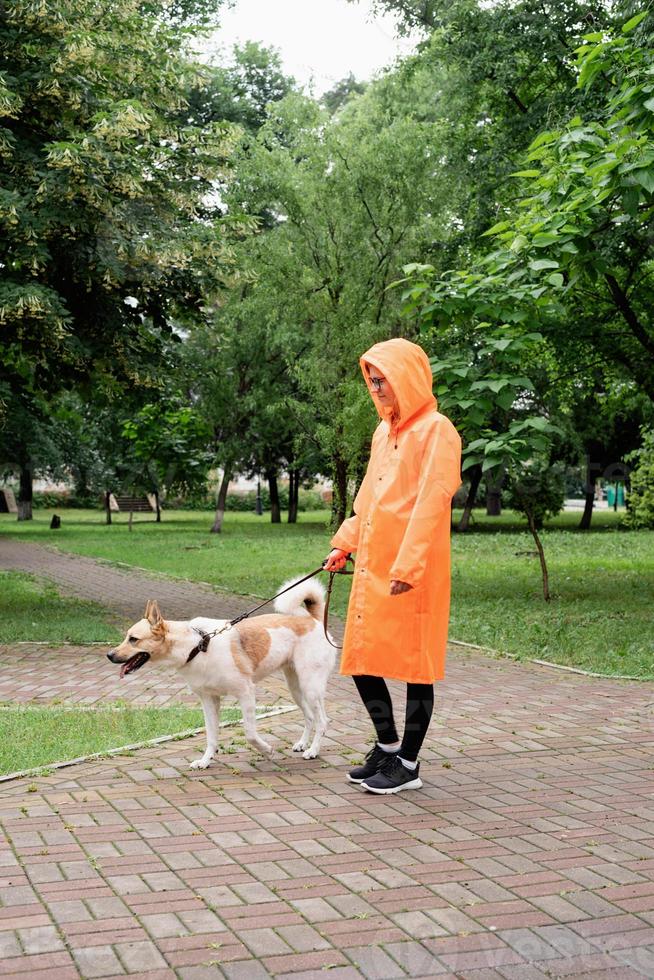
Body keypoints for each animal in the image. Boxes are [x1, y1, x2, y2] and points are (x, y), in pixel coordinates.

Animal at [107, 580, 336, 764]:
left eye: (133, 639)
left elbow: (250, 733)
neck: (196, 646)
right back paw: (303, 744)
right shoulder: (208, 700)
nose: (109, 655)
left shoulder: (246, 693)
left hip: (310, 687)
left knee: (322, 721)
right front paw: (205, 761)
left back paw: (313, 751)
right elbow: (211, 736)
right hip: (296, 688)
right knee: (309, 716)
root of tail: (313, 620)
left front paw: (266, 750)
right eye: (126, 637)